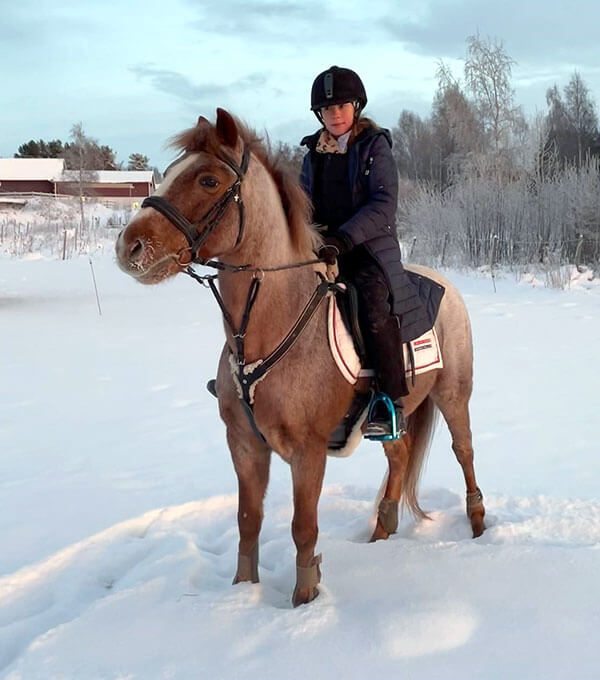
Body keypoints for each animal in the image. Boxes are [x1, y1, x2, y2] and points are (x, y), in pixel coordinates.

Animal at [115, 108, 485, 607]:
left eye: (208, 180)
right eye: (170, 172)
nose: (128, 247)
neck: (269, 325)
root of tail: (444, 285)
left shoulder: (308, 453)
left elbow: (303, 528)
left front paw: (305, 599)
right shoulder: (245, 446)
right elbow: (248, 521)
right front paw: (242, 594)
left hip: (453, 395)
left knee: (464, 452)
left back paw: (478, 524)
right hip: (398, 408)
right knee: (399, 455)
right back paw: (382, 530)